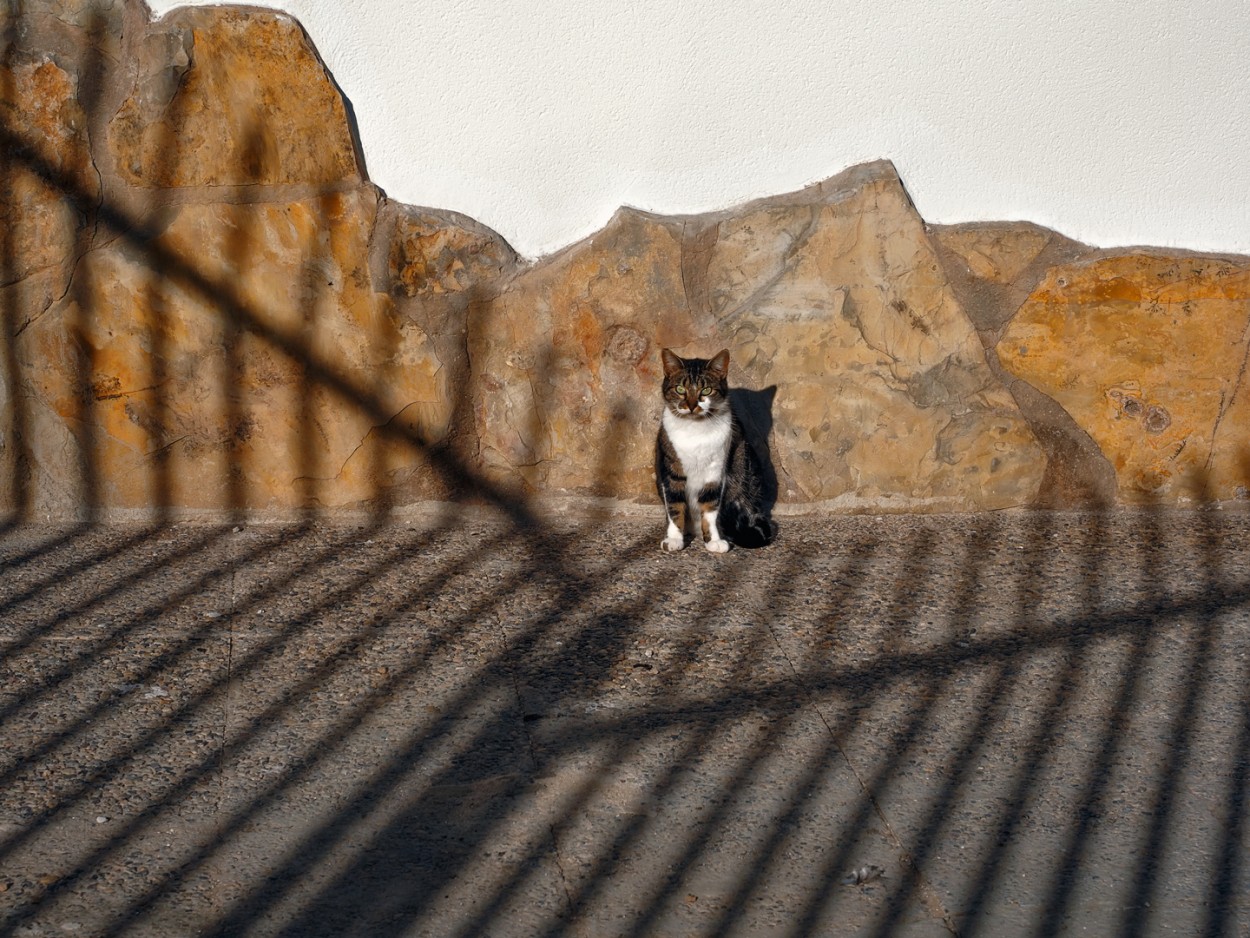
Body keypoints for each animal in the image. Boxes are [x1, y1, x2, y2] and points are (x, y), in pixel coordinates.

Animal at [655, 350, 770, 555]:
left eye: (706, 391)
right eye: (680, 389)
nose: (692, 405)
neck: (695, 430)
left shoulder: (714, 471)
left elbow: (710, 508)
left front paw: (714, 541)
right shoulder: (671, 470)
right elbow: (675, 505)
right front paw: (674, 539)